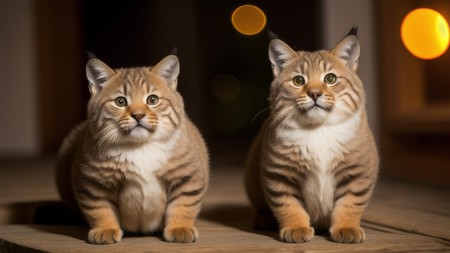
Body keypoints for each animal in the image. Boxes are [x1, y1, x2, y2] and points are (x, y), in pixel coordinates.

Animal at [55, 54, 210, 244]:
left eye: (152, 100)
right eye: (120, 101)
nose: (138, 115)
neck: (140, 146)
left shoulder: (187, 176)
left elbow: (184, 204)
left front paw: (180, 228)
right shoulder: (93, 183)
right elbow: (100, 208)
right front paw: (105, 229)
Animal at [244, 27, 378, 243]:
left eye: (330, 79)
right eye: (298, 80)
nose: (314, 94)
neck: (318, 129)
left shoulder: (358, 171)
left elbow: (350, 203)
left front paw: (346, 227)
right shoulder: (279, 173)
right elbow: (288, 205)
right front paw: (296, 227)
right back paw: (265, 218)